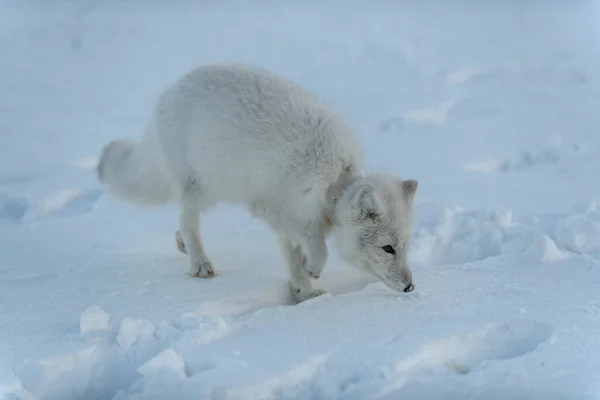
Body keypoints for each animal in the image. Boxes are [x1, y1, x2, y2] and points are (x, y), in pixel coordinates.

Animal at [97, 63, 418, 300]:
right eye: (387, 248)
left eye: (405, 246)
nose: (410, 287)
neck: (334, 183)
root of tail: (171, 90)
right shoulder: (273, 208)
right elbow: (318, 248)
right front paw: (313, 272)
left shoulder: (289, 220)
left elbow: (294, 258)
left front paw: (304, 291)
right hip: (201, 188)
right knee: (188, 223)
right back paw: (199, 262)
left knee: (181, 225)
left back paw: (182, 246)